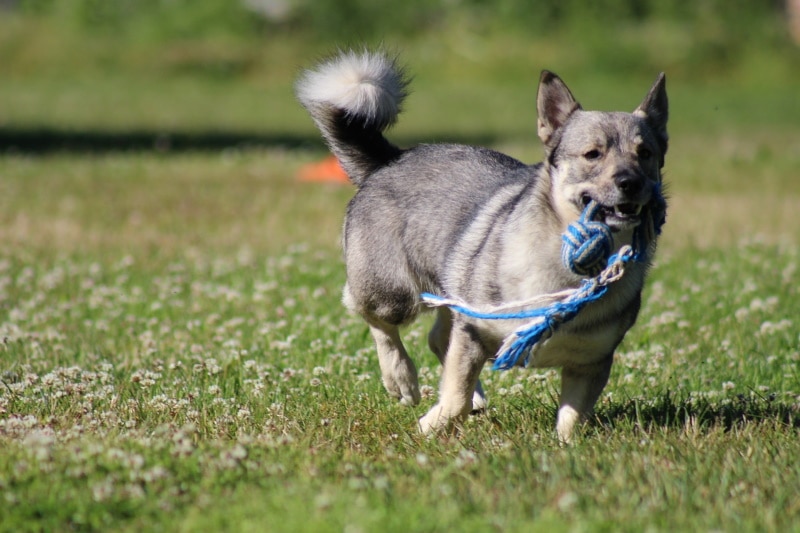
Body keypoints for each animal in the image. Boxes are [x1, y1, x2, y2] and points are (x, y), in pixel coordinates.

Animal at [296, 50, 664, 440]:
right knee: (370, 314)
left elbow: (572, 418)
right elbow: (454, 395)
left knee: (438, 338)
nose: (630, 182)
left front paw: (566, 445)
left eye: (645, 154)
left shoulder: (591, 362)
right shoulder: (474, 331)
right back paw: (402, 379)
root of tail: (390, 159)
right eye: (593, 154)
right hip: (394, 294)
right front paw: (431, 424)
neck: (568, 275)